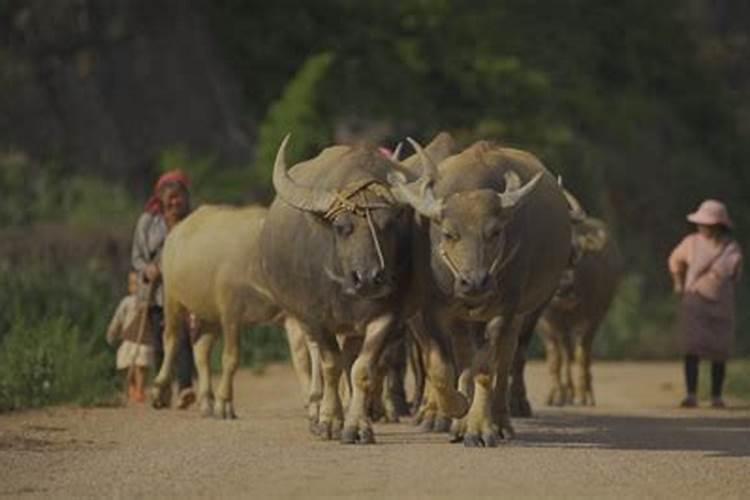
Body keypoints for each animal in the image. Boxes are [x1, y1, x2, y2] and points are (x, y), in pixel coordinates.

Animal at [262, 135, 468, 444]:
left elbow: (362, 370)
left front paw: (356, 426)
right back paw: (316, 410)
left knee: (350, 358)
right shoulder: (315, 317)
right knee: (317, 358)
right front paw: (329, 421)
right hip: (302, 317)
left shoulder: (386, 317)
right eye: (341, 227)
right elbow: (330, 365)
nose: (368, 278)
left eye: (389, 225)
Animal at [390, 139, 572, 448]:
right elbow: (441, 367)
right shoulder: (435, 310)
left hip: (518, 314)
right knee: (466, 356)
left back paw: (500, 423)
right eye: (449, 233)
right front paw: (457, 409)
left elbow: (485, 369)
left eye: (495, 232)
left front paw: (480, 428)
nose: (474, 283)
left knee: (504, 360)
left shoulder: (505, 310)